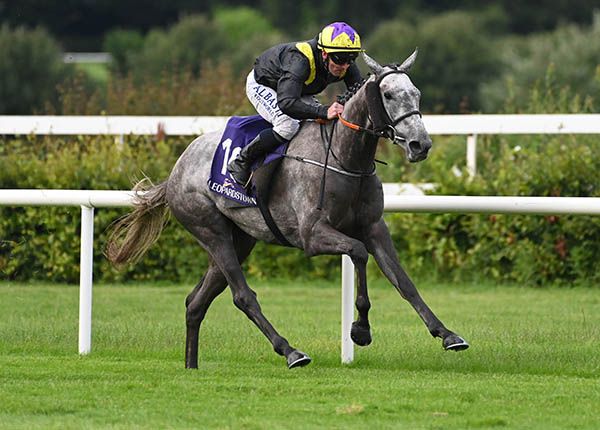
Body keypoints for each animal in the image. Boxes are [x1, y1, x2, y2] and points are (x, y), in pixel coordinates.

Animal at [109, 49, 474, 366]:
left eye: (416, 93)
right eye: (388, 95)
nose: (420, 144)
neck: (345, 156)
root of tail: (175, 171)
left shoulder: (374, 227)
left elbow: (403, 281)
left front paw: (446, 334)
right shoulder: (312, 235)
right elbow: (358, 253)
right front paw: (360, 330)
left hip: (239, 240)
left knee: (195, 302)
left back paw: (191, 366)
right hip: (210, 230)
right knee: (242, 296)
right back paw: (290, 351)